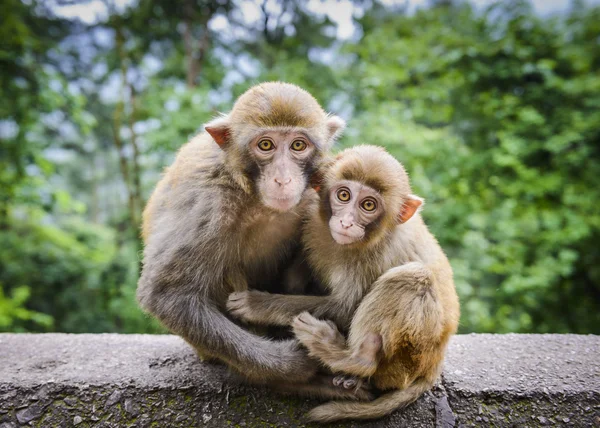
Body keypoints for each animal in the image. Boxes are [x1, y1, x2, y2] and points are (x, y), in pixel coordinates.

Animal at [136, 83, 372, 402]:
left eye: (298, 146)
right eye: (266, 145)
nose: (283, 179)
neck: (257, 199)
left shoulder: (317, 193)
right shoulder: (208, 203)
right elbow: (168, 294)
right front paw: (292, 365)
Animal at [227, 145, 462, 422]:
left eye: (368, 205)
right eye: (343, 195)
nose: (347, 222)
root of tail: (436, 363)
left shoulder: (376, 255)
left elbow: (346, 308)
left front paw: (257, 304)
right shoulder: (312, 223)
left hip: (410, 359)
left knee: (414, 277)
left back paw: (354, 358)